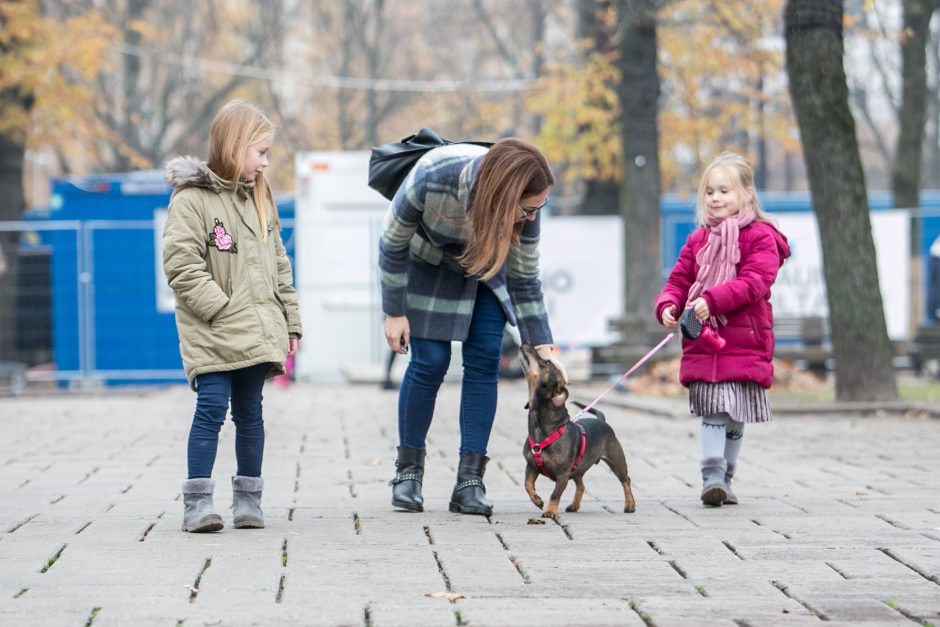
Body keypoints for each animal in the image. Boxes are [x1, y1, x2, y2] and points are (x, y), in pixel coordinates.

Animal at [516, 344, 640, 520]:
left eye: (546, 363)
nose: (525, 343)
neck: (543, 428)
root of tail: (602, 420)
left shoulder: (562, 475)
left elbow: (555, 494)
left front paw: (550, 511)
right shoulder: (532, 467)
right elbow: (527, 484)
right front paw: (537, 500)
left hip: (616, 461)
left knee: (626, 480)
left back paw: (630, 505)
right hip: (577, 470)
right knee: (581, 486)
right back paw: (574, 505)